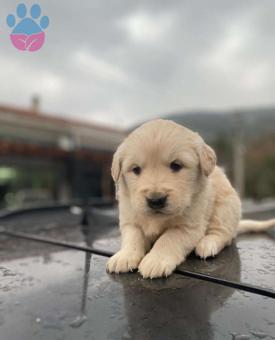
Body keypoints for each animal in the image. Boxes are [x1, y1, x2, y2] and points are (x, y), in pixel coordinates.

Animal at [106, 118, 275, 278]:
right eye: (135, 169)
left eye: (176, 165)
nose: (155, 200)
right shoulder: (130, 219)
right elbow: (132, 237)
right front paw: (124, 256)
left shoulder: (189, 227)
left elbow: (168, 238)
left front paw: (155, 260)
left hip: (225, 208)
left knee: (223, 234)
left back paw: (207, 243)